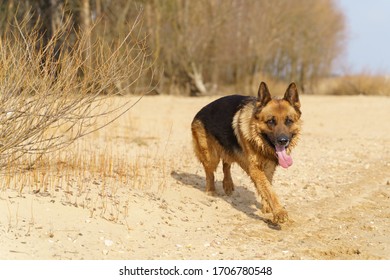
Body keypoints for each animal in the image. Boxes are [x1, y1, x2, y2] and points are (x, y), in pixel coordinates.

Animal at [192, 81, 302, 223]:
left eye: (289, 121)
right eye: (271, 121)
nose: (283, 141)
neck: (258, 141)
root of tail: (200, 111)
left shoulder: (268, 168)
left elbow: (267, 186)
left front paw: (267, 207)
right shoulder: (255, 169)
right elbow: (268, 189)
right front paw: (279, 211)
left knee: (226, 163)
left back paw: (228, 184)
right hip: (211, 156)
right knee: (210, 172)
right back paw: (211, 191)